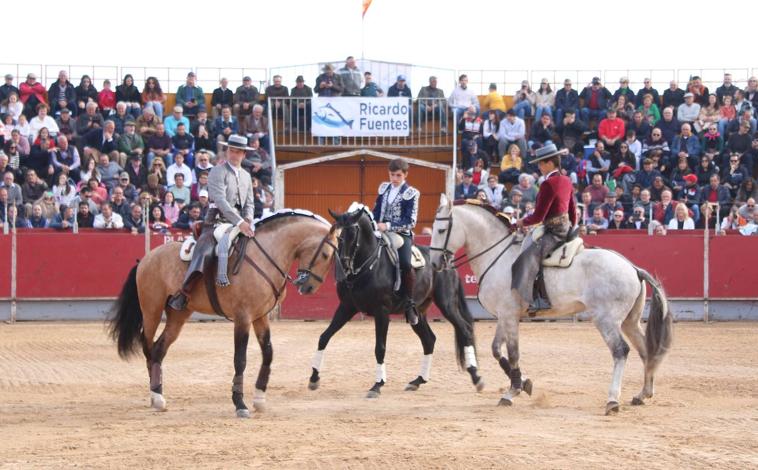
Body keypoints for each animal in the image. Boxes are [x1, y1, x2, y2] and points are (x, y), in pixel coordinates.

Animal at [109, 211, 338, 416]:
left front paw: (259, 399)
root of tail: (146, 258)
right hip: (152, 311)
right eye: (326, 254)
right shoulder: (243, 317)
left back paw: (157, 393)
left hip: (178, 315)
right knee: (148, 346)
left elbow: (268, 353)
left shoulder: (260, 316)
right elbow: (240, 359)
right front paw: (240, 404)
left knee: (159, 349)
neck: (266, 255)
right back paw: (155, 396)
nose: (309, 287)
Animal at [310, 204, 484, 398]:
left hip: (447, 305)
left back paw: (476, 377)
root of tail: (447, 261)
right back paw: (417, 381)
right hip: (418, 313)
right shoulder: (347, 307)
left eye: (353, 233)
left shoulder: (382, 311)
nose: (343, 267)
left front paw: (377, 385)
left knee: (465, 330)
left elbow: (380, 347)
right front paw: (314, 378)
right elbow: (324, 337)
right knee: (429, 340)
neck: (368, 265)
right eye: (337, 235)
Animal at [430, 195, 672, 414]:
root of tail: (633, 268)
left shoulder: (509, 315)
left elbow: (513, 353)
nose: (434, 264)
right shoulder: (503, 315)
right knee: (645, 351)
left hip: (607, 320)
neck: (497, 255)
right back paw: (642, 394)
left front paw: (513, 391)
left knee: (621, 351)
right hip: (630, 321)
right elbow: (497, 350)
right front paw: (524, 383)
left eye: (441, 230)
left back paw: (612, 400)